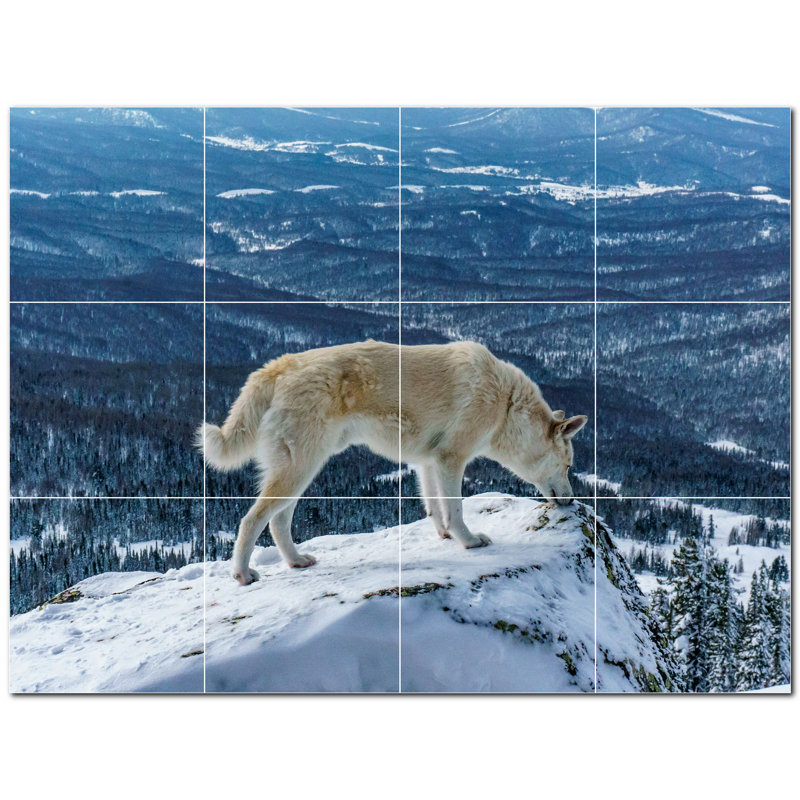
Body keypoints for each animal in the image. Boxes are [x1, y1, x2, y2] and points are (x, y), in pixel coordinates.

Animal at [198, 340, 587, 585]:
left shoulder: (428, 462)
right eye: (569, 466)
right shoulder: (451, 459)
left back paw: (296, 561)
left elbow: (435, 509)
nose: (571, 500)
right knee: (250, 521)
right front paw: (468, 541)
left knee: (278, 522)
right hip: (299, 470)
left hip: (302, 471)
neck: (506, 404)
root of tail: (279, 367)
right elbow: (456, 509)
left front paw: (446, 536)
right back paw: (243, 575)